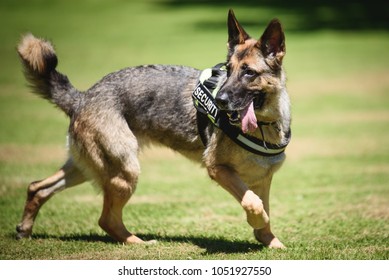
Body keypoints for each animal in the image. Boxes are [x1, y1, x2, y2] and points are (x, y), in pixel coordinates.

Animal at [16, 9, 292, 248]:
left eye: (249, 73)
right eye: (229, 69)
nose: (220, 100)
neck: (265, 125)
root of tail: (82, 98)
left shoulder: (262, 178)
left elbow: (261, 207)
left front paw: (269, 240)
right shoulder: (218, 169)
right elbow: (254, 204)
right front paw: (257, 222)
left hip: (89, 168)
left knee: (37, 187)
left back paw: (24, 230)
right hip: (125, 170)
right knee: (106, 219)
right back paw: (137, 242)